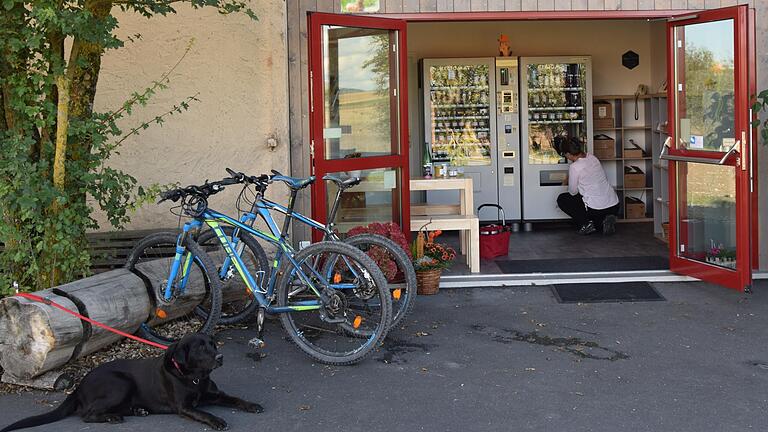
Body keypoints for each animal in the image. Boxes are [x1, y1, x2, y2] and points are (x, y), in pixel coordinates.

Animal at [1, 332, 262, 430]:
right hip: (120, 383)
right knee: (86, 414)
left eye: (213, 345)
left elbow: (235, 399)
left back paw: (138, 410)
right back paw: (113, 417)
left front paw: (252, 405)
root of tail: (80, 385)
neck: (194, 378)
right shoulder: (184, 407)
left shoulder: (214, 394)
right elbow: (203, 413)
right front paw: (217, 420)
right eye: (200, 348)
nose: (220, 357)